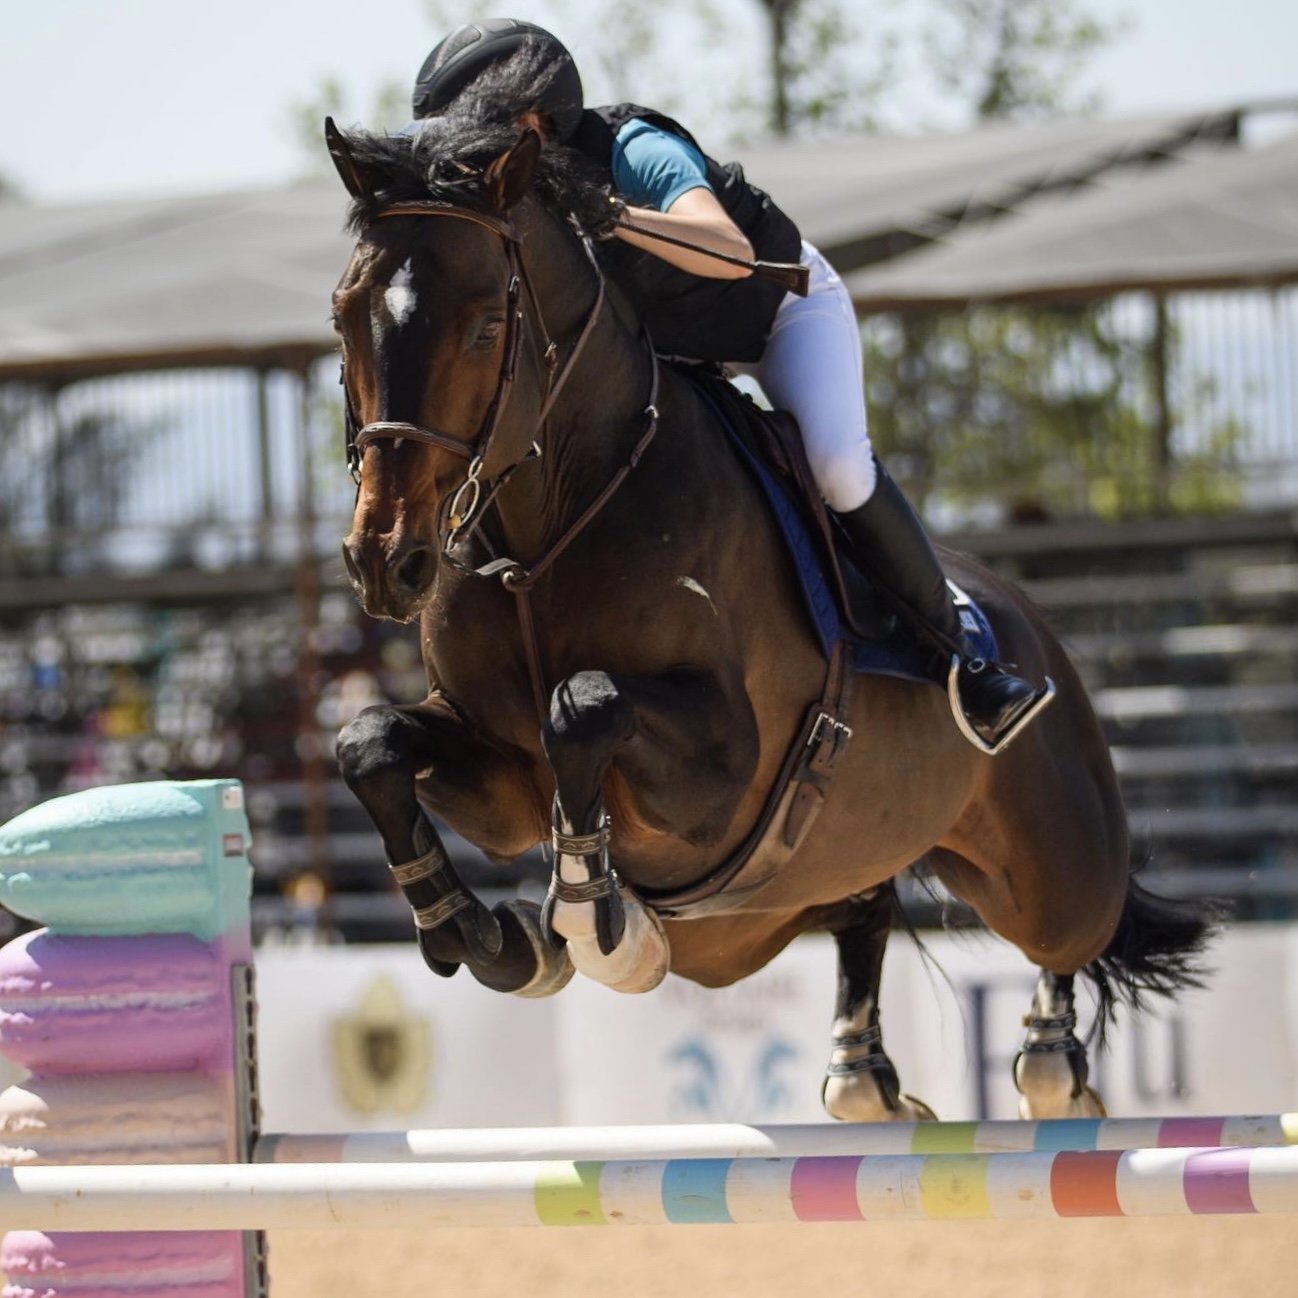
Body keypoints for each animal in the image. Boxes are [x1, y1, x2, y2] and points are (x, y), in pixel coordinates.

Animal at [325, 108, 1211, 1122]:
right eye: (343, 316)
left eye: (482, 326)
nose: (385, 560)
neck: (546, 531)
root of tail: (1039, 633)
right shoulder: (501, 778)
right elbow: (373, 743)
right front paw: (477, 931)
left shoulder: (723, 763)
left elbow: (583, 707)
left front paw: (590, 919)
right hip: (794, 895)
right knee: (864, 910)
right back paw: (866, 1077)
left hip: (1053, 869)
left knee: (1073, 937)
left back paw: (1050, 1059)